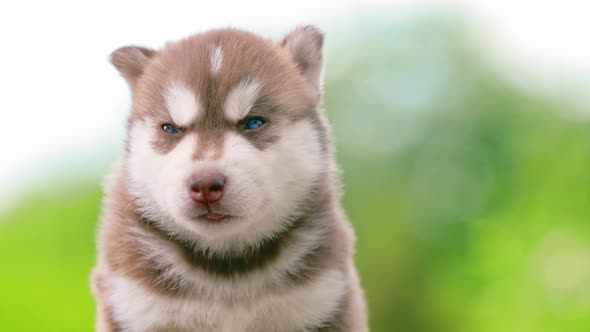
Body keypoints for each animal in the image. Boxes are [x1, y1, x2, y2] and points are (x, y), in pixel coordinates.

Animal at [91, 26, 370, 332]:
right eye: (170, 128)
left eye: (253, 122)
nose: (204, 185)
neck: (228, 270)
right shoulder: (136, 304)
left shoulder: (323, 299)